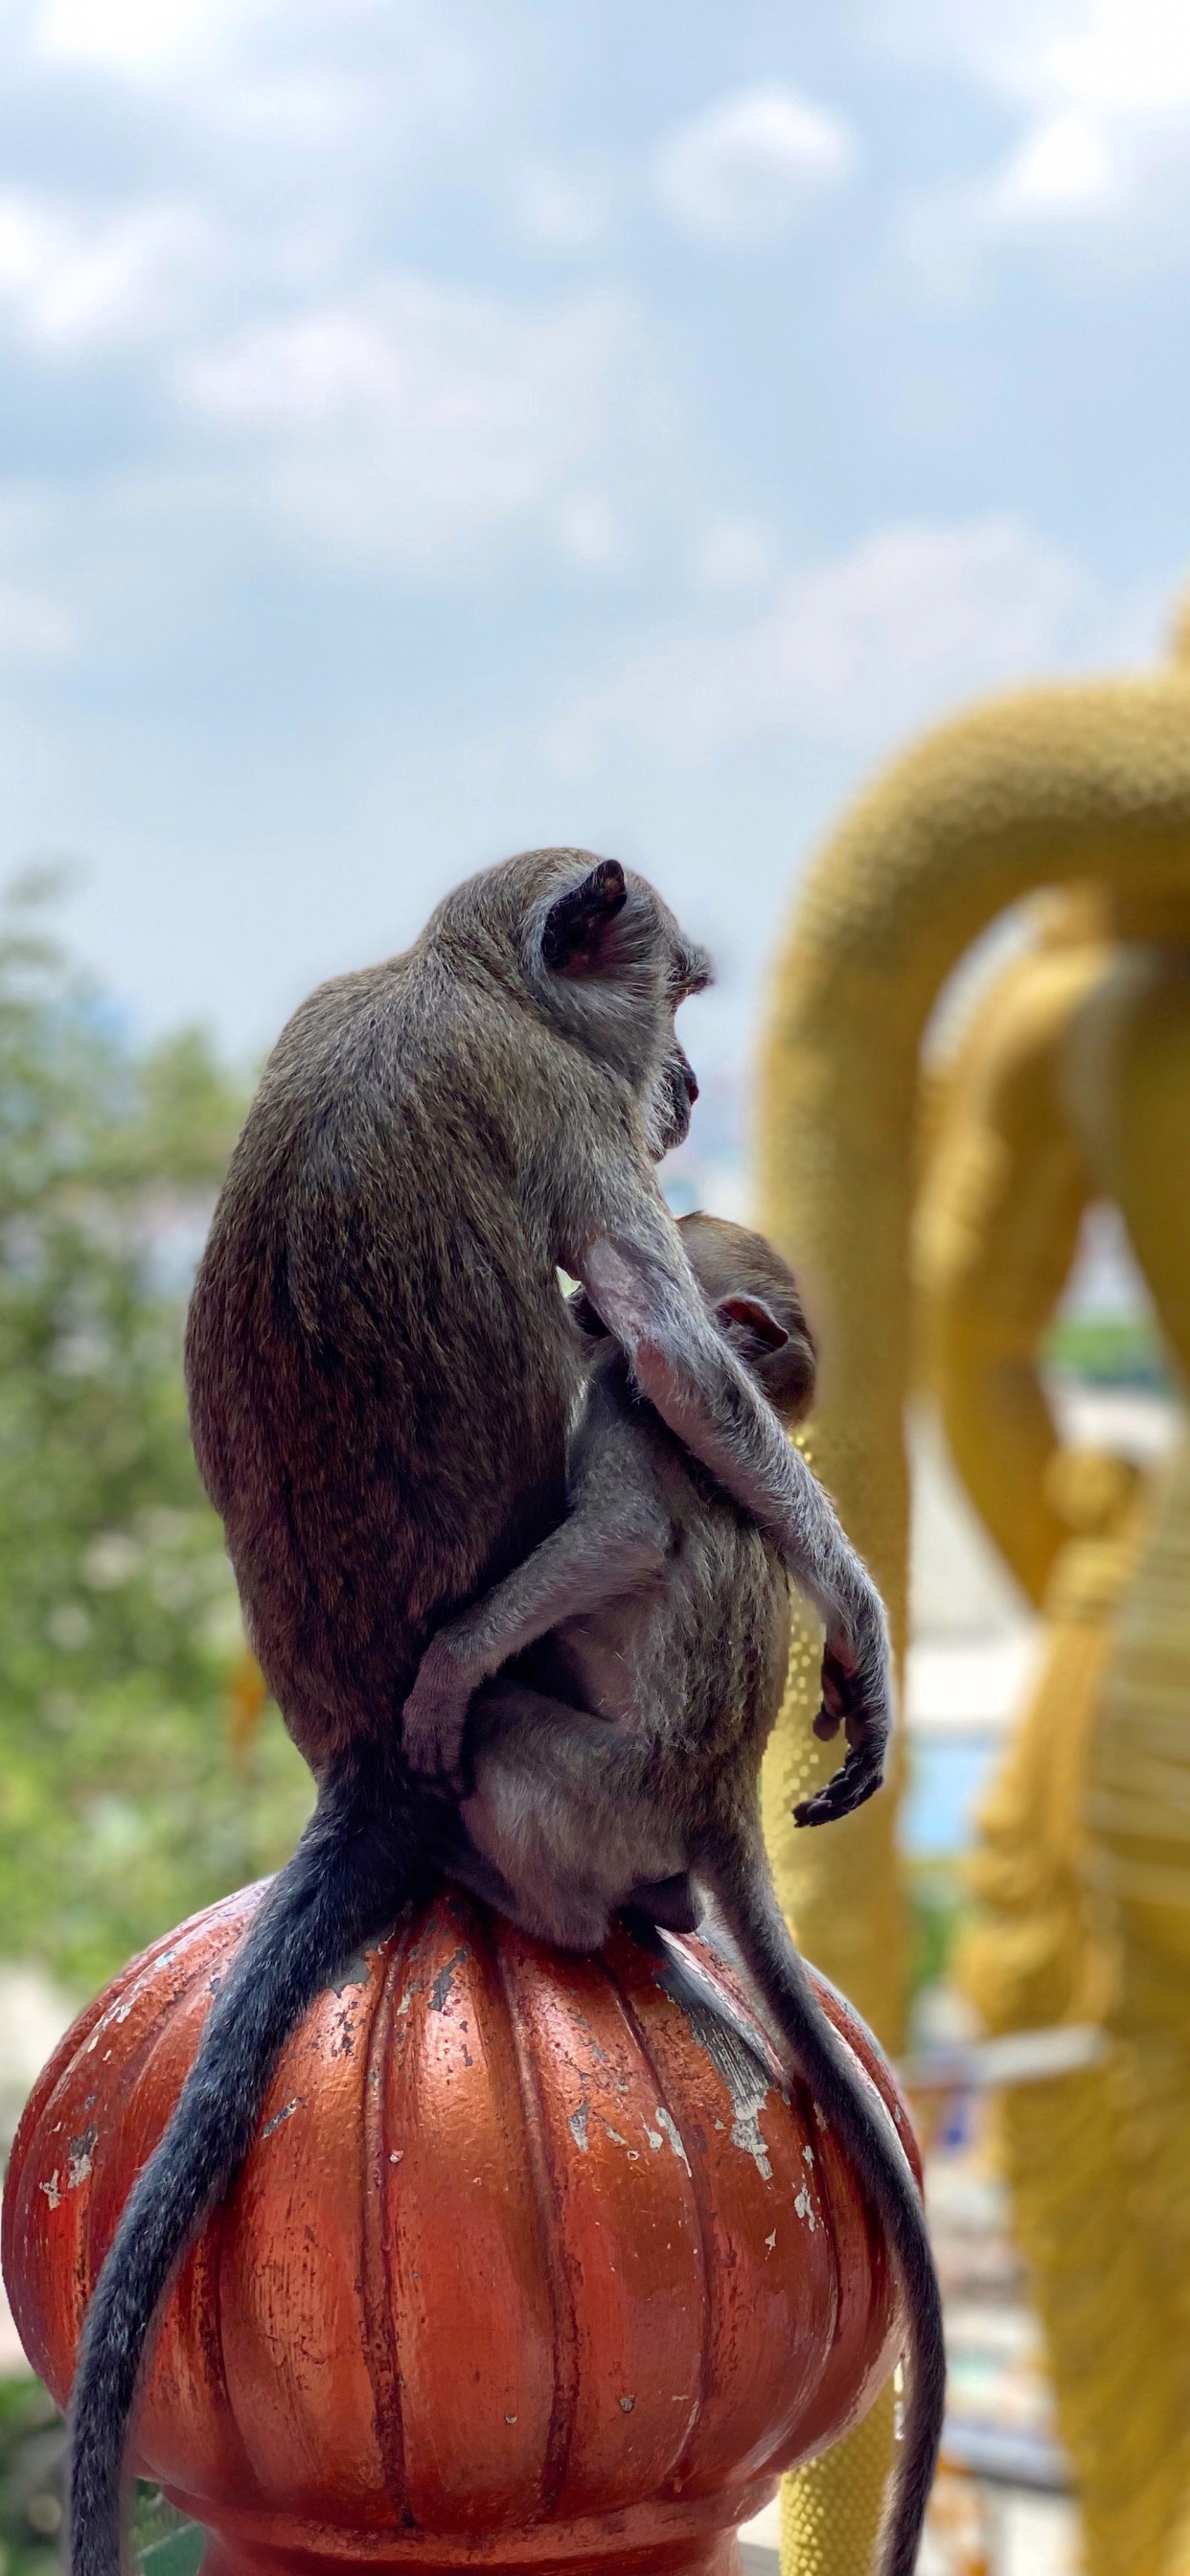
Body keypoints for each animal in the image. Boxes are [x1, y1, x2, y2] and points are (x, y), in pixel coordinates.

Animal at [64, 855, 881, 2576]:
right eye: (679, 997)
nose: (689, 1087)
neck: (451, 975)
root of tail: (364, 1775)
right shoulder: (570, 1109)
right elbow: (678, 1365)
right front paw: (858, 1626)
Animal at [404, 1215, 942, 2576]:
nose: (580, 1296)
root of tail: (712, 1805)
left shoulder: (623, 1408)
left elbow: (621, 1537)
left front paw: (451, 1663)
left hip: (603, 1786)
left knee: (509, 1741)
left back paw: (520, 1888)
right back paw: (665, 1911)